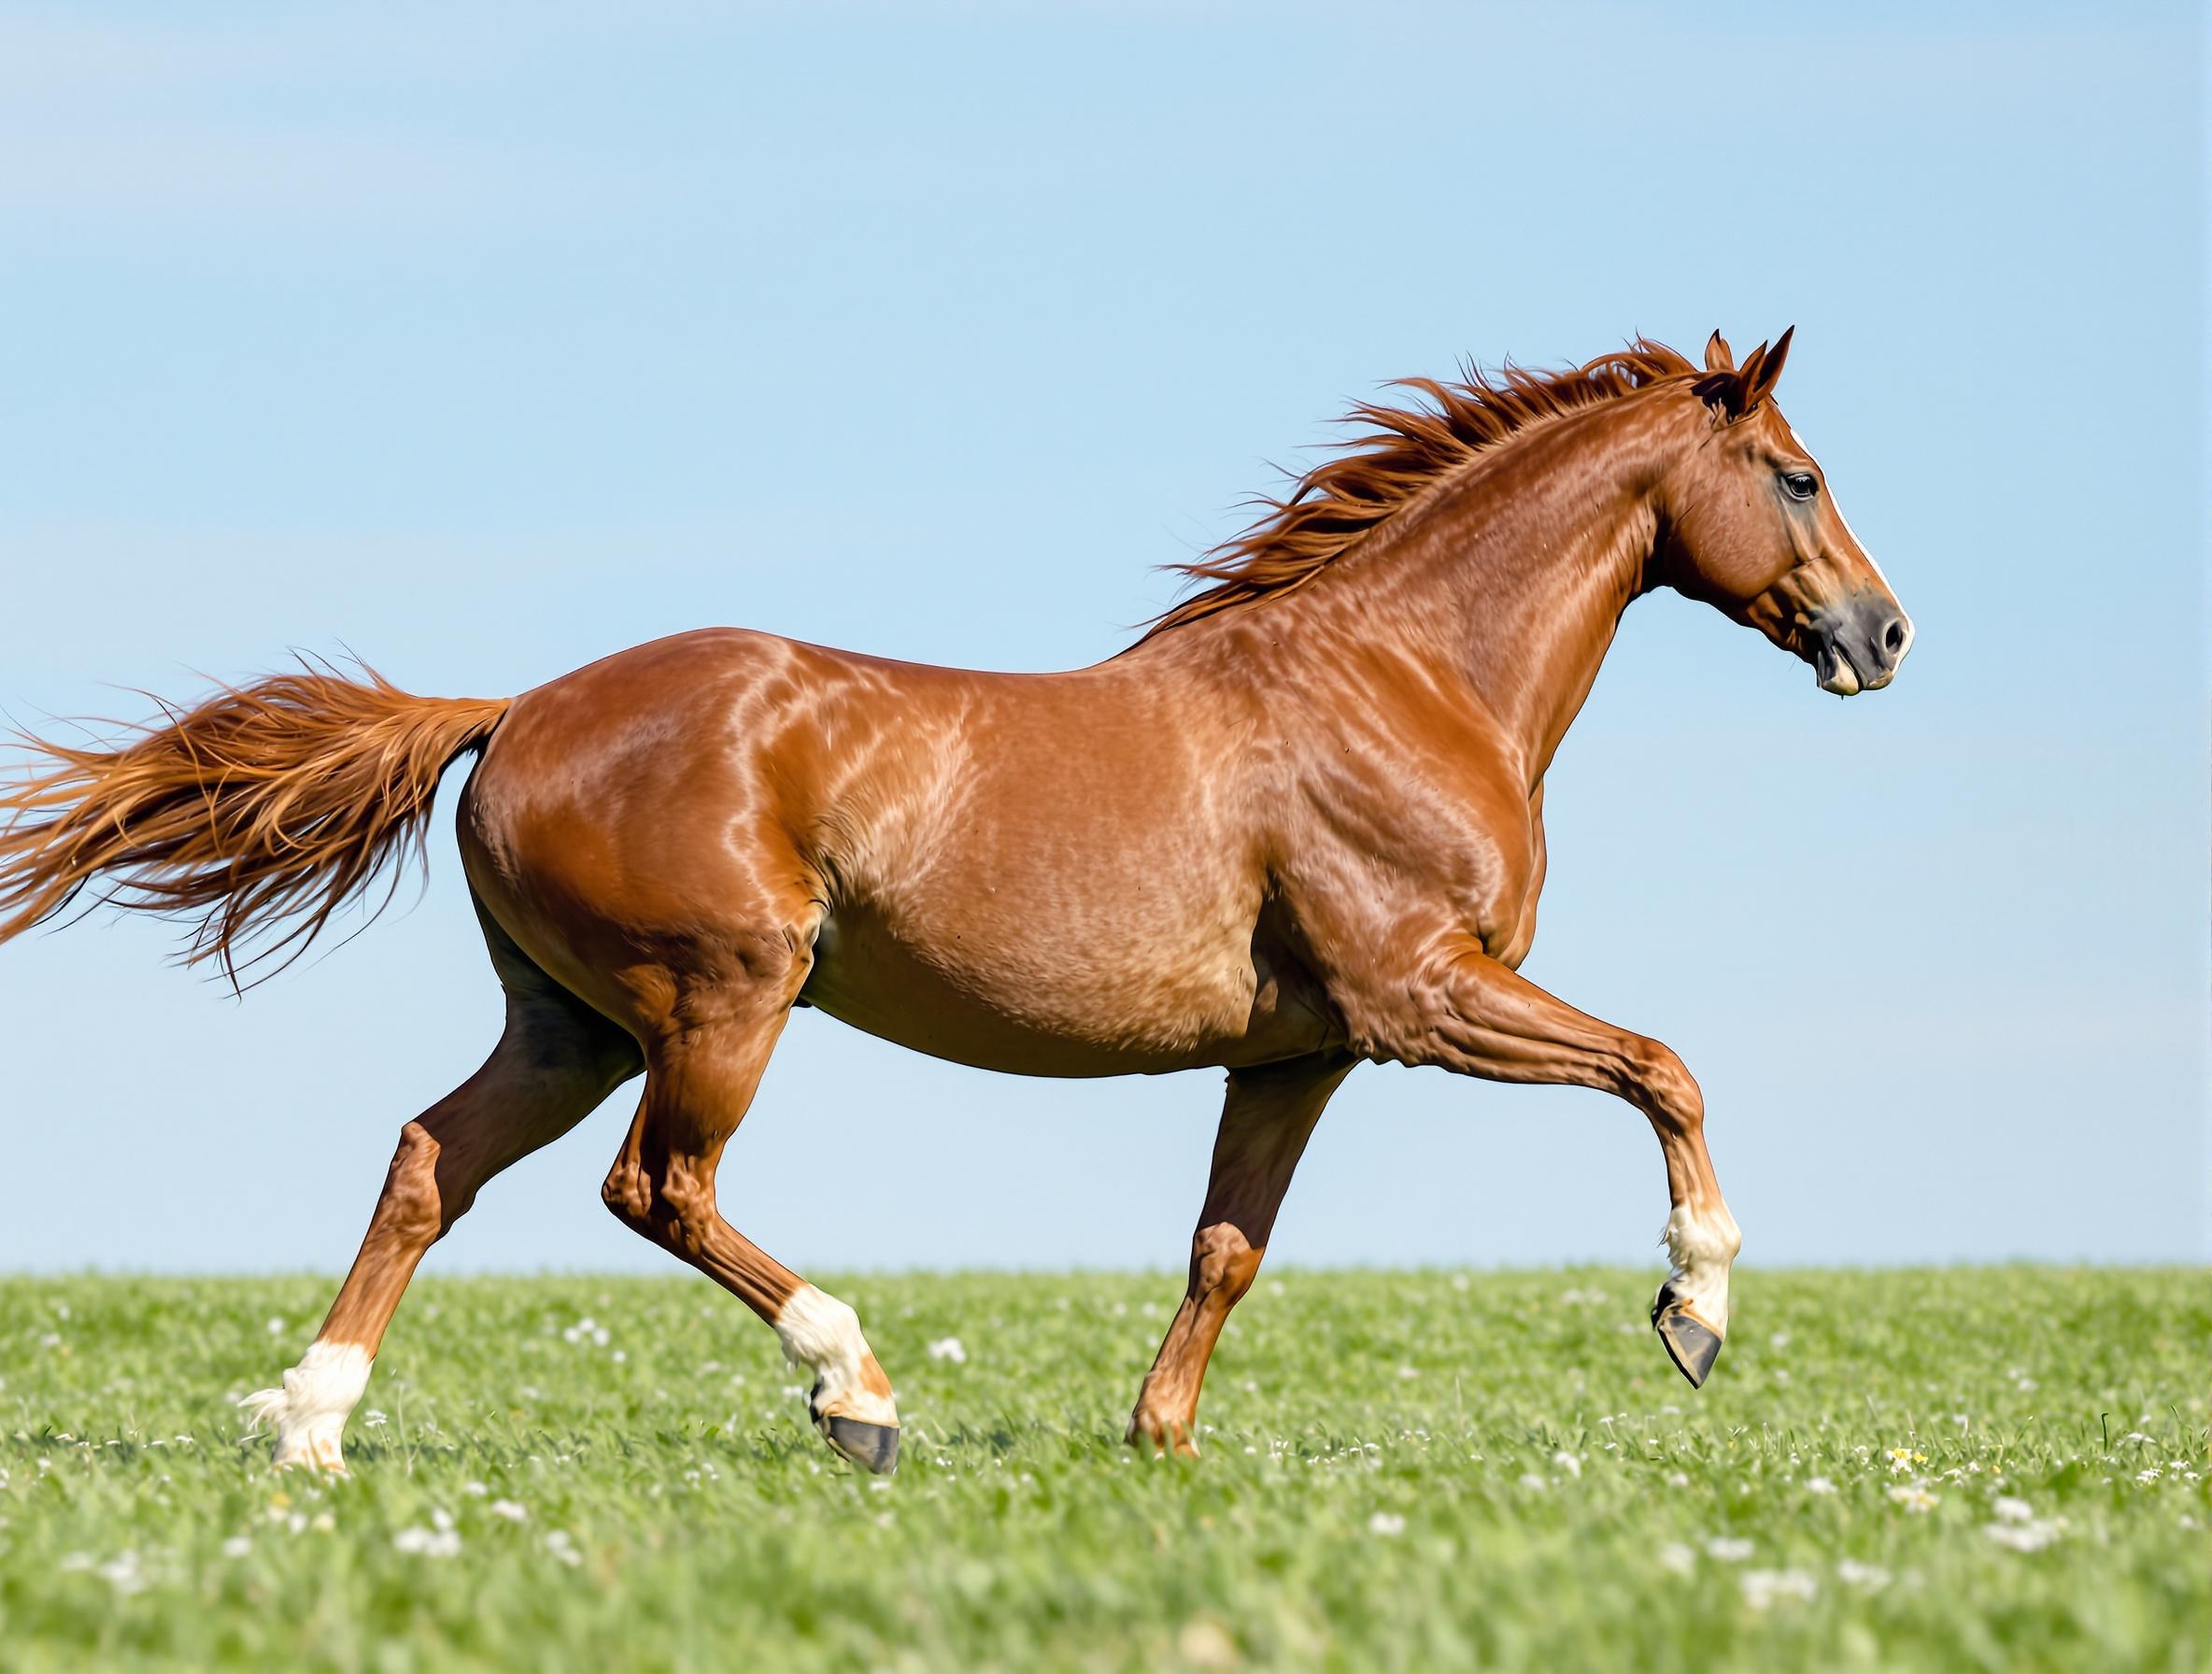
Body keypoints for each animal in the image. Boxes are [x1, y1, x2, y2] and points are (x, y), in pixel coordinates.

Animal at [0, 328, 1912, 1475]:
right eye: (1801, 476)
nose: (1882, 635)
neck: (1404, 679)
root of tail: (514, 710)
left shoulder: (1298, 1052)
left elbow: (1226, 1247)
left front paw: (1159, 1445)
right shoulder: (1419, 996)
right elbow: (1664, 1066)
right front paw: (1693, 1313)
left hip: (569, 1024)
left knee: (429, 1163)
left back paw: (310, 1430)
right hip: (721, 1000)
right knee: (656, 1189)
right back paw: (853, 1392)